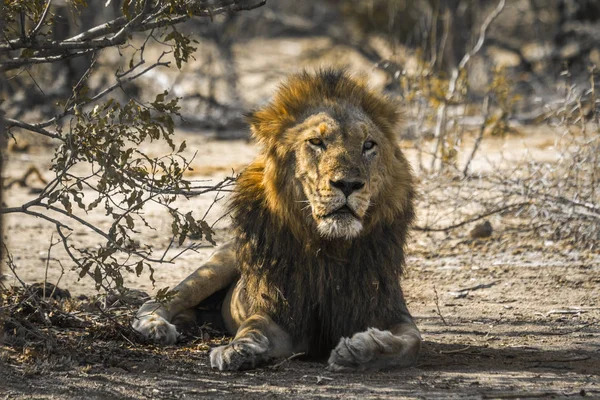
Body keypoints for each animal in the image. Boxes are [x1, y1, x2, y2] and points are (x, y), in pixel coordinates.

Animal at [133, 69, 420, 372]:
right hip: (216, 266)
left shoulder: (388, 310)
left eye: (368, 145)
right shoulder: (284, 314)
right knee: (158, 301)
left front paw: (359, 350)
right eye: (316, 142)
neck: (331, 246)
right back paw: (156, 327)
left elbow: (412, 343)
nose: (348, 184)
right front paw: (238, 350)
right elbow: (254, 325)